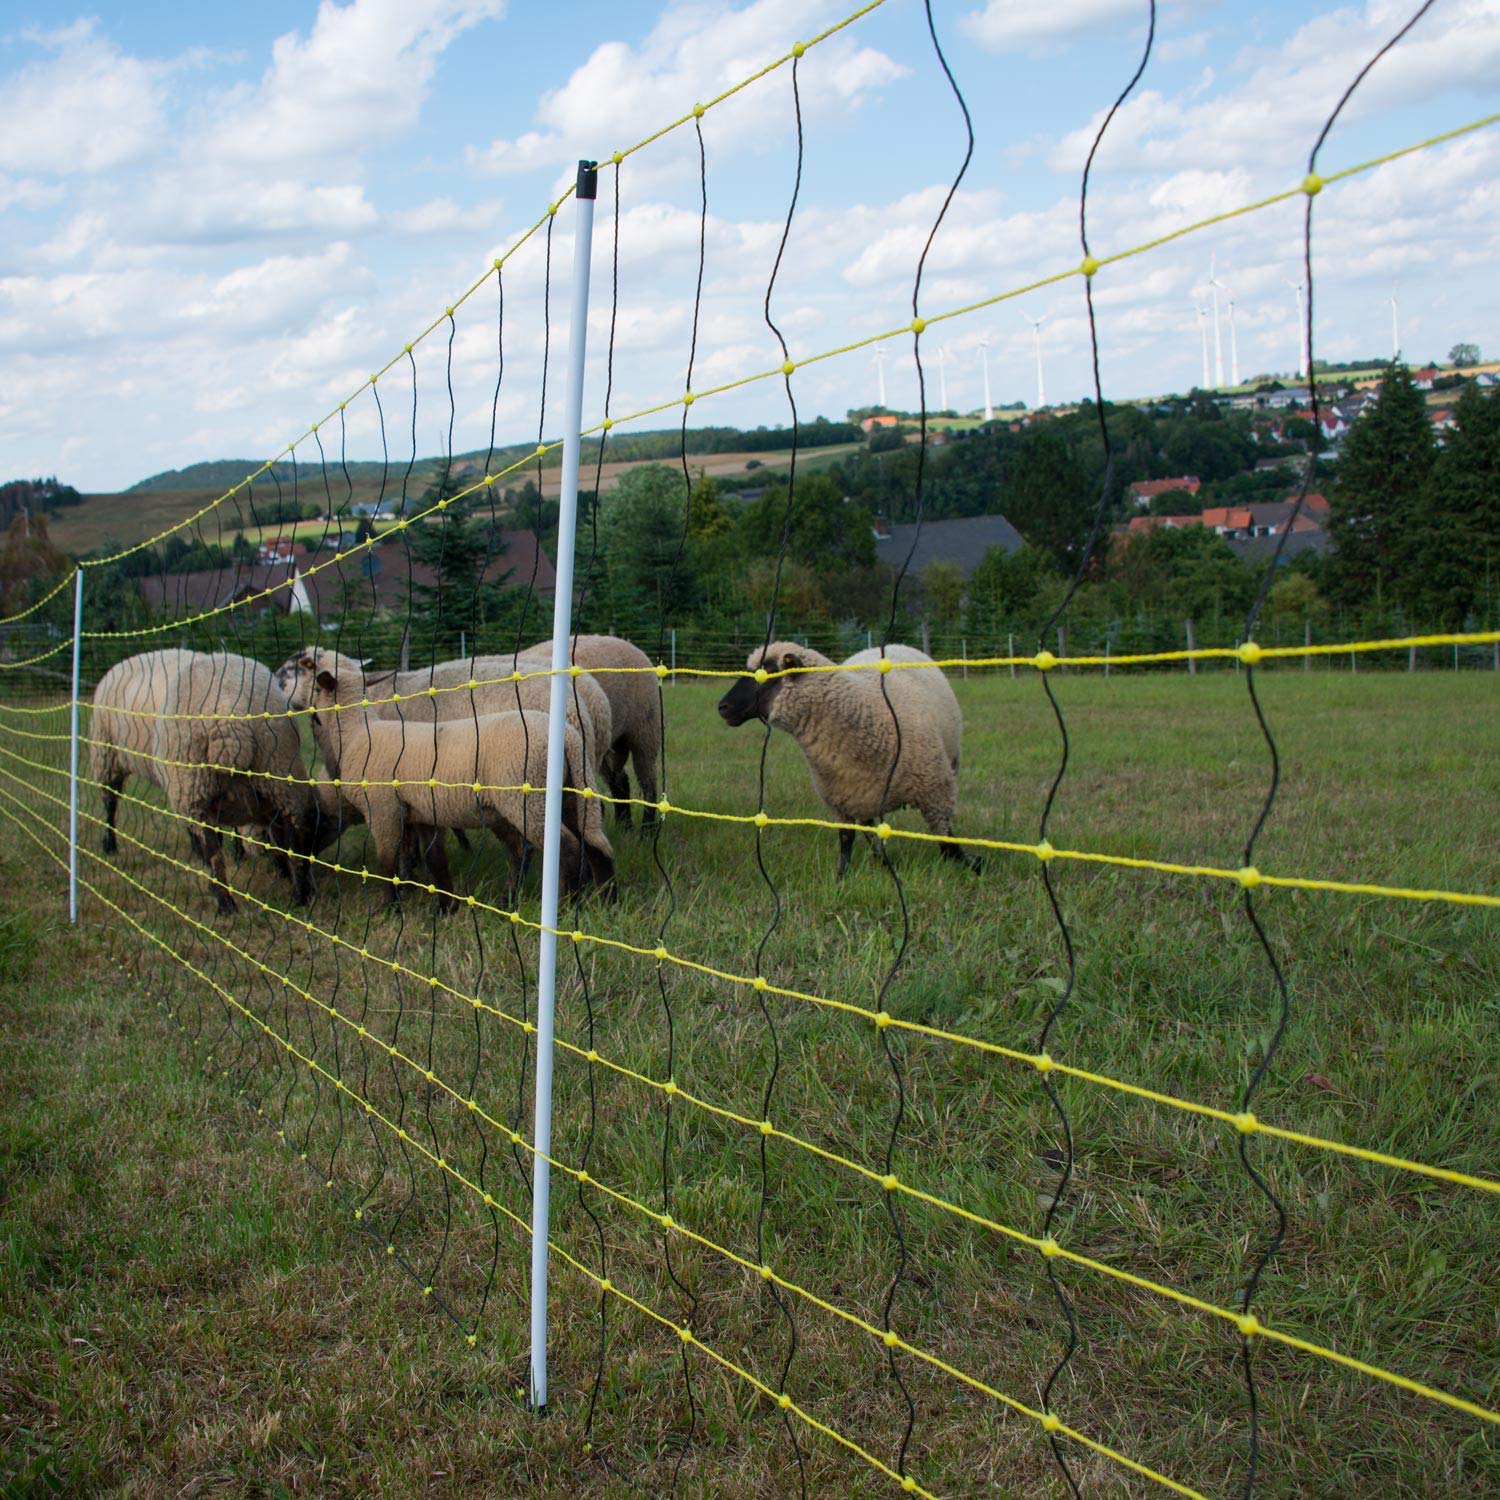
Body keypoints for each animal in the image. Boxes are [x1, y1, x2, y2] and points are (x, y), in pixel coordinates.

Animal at [307, 668, 614, 908]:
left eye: (316, 691)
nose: (310, 716)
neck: (356, 733)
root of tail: (570, 739)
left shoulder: (383, 810)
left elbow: (388, 861)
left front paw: (390, 906)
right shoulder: (422, 813)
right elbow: (435, 859)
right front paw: (446, 907)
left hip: (529, 801)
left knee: (568, 846)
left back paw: (567, 904)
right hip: (571, 793)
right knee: (593, 844)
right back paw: (606, 900)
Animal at [519, 634, 661, 829]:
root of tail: (621, 640)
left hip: (644, 730)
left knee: (648, 782)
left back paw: (647, 830)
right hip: (605, 744)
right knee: (619, 779)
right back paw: (625, 825)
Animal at [717, 642, 981, 877]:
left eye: (765, 673)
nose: (722, 707)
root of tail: (896, 644)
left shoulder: (935, 791)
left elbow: (946, 840)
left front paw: (971, 865)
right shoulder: (842, 800)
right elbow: (846, 842)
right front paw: (842, 878)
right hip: (863, 796)